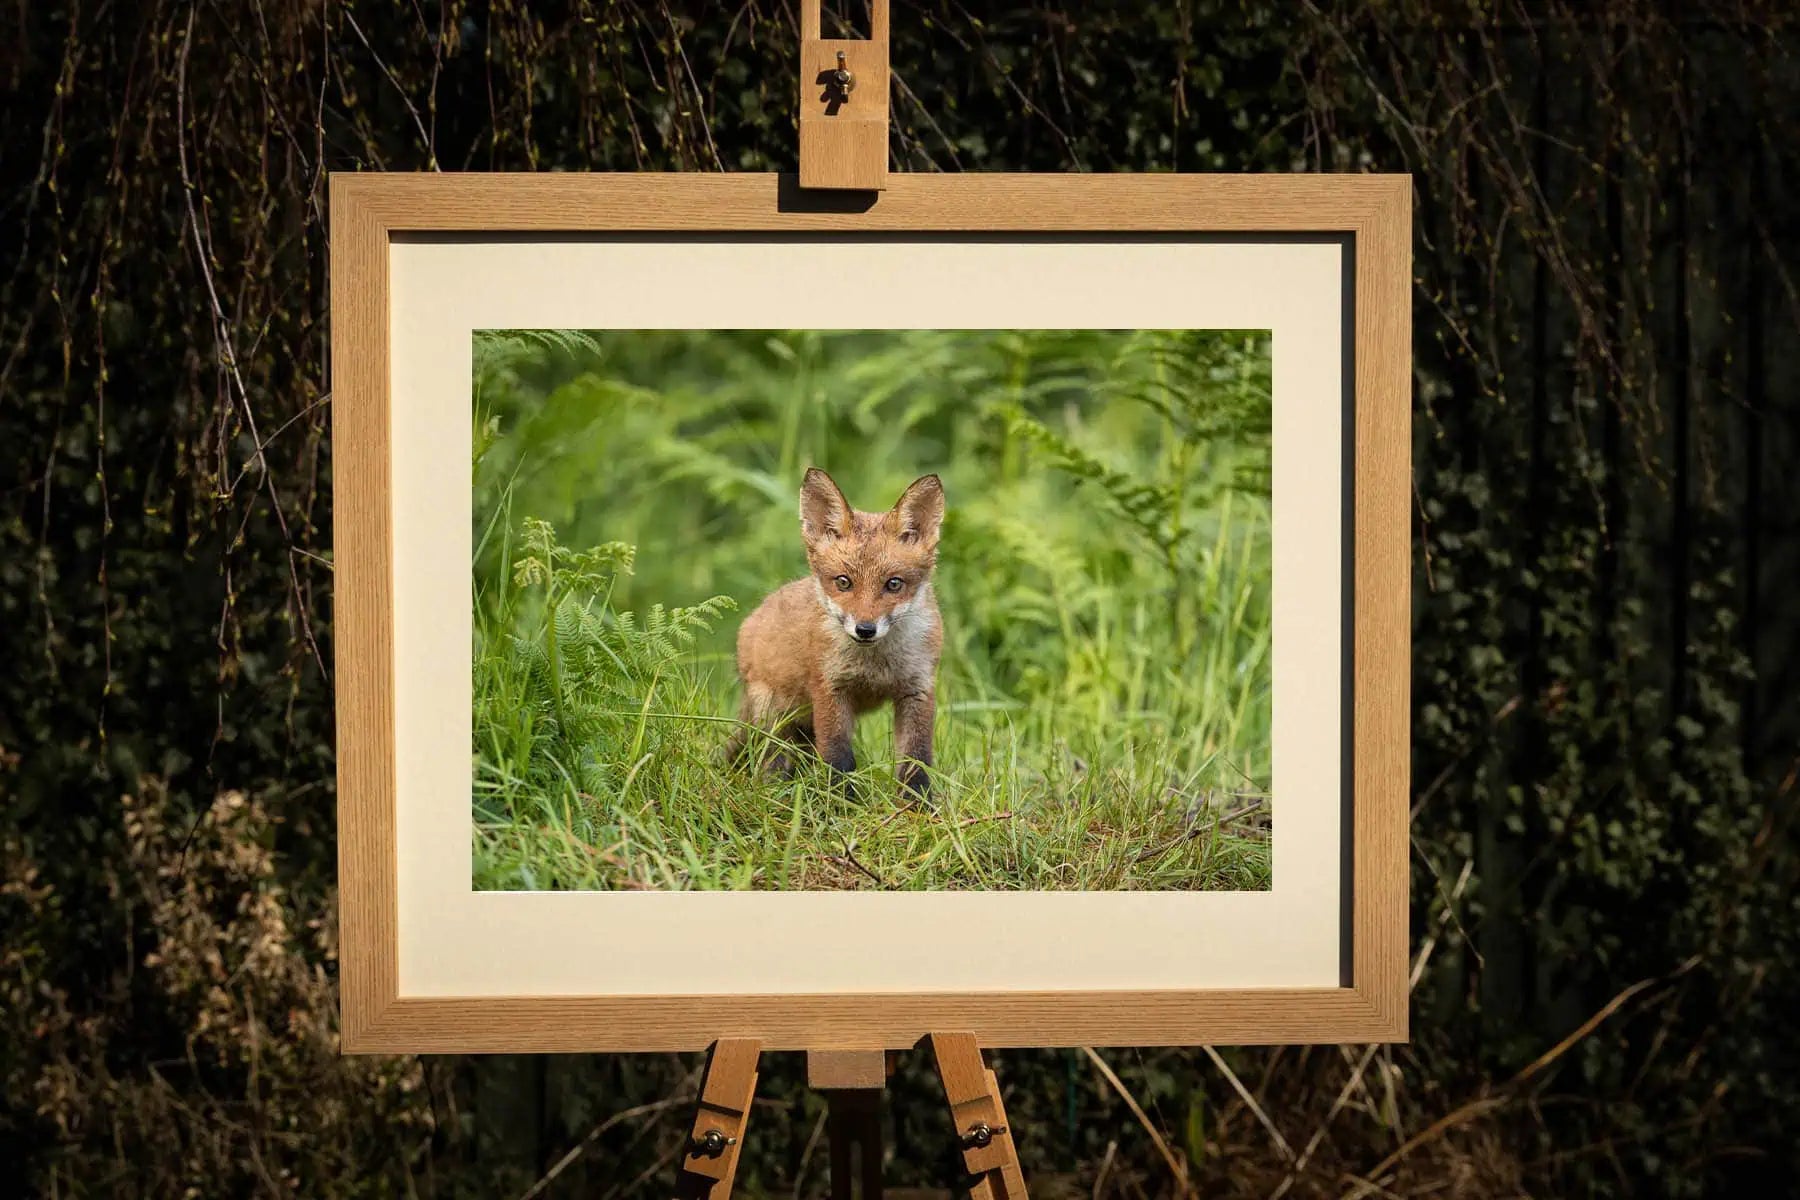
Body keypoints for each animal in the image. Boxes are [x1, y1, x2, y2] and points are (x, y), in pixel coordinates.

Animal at [724, 467, 945, 797]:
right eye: (843, 582)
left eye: (894, 584)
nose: (865, 629)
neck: (875, 666)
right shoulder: (830, 689)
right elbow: (838, 758)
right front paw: (843, 803)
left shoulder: (917, 688)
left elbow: (915, 762)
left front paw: (917, 805)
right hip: (775, 719)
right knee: (771, 762)